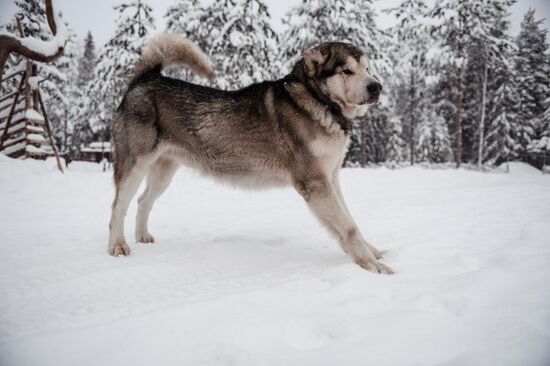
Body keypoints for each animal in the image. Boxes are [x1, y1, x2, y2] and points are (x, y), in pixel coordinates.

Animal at [106, 34, 392, 274]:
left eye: (367, 68)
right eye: (347, 70)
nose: (377, 87)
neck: (319, 102)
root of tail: (145, 79)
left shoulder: (331, 177)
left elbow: (350, 218)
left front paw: (372, 252)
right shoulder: (315, 183)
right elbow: (348, 226)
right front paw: (372, 264)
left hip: (164, 172)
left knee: (143, 201)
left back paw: (142, 236)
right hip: (134, 165)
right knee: (118, 207)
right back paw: (117, 246)